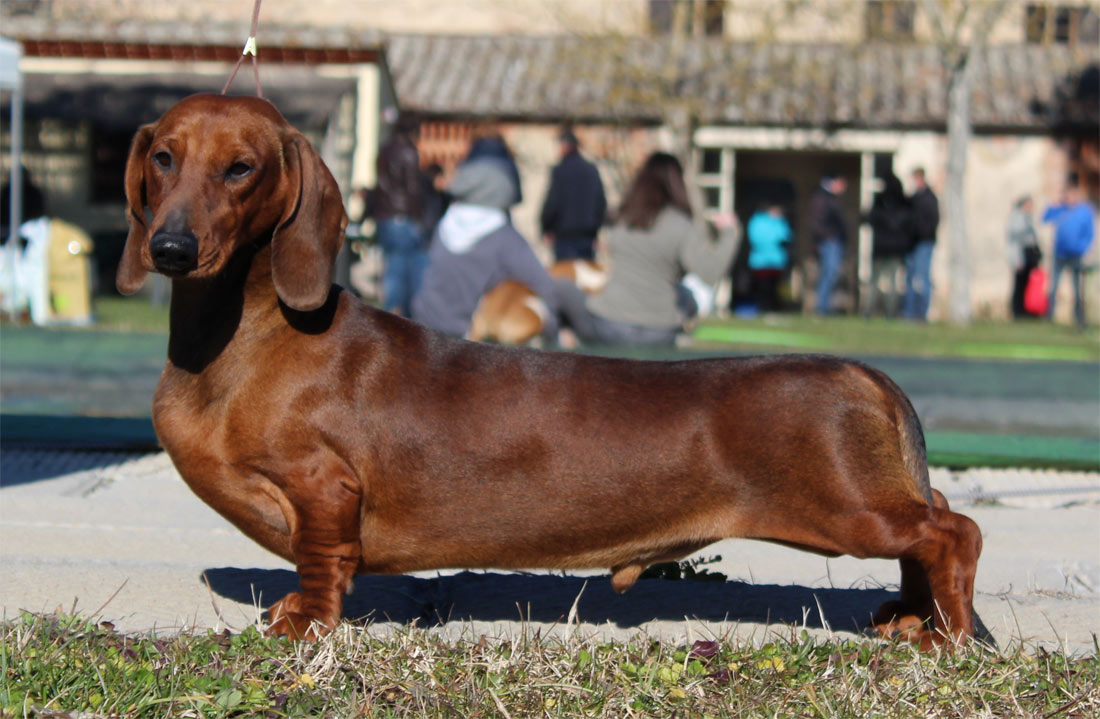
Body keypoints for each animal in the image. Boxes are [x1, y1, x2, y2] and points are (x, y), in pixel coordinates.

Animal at [120, 95, 981, 646]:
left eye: (241, 168)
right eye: (162, 156)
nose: (171, 248)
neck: (243, 337)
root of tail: (864, 373)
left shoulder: (323, 488)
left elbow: (322, 561)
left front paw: (303, 619)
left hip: (848, 511)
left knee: (952, 529)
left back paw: (948, 634)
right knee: (931, 522)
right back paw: (911, 618)